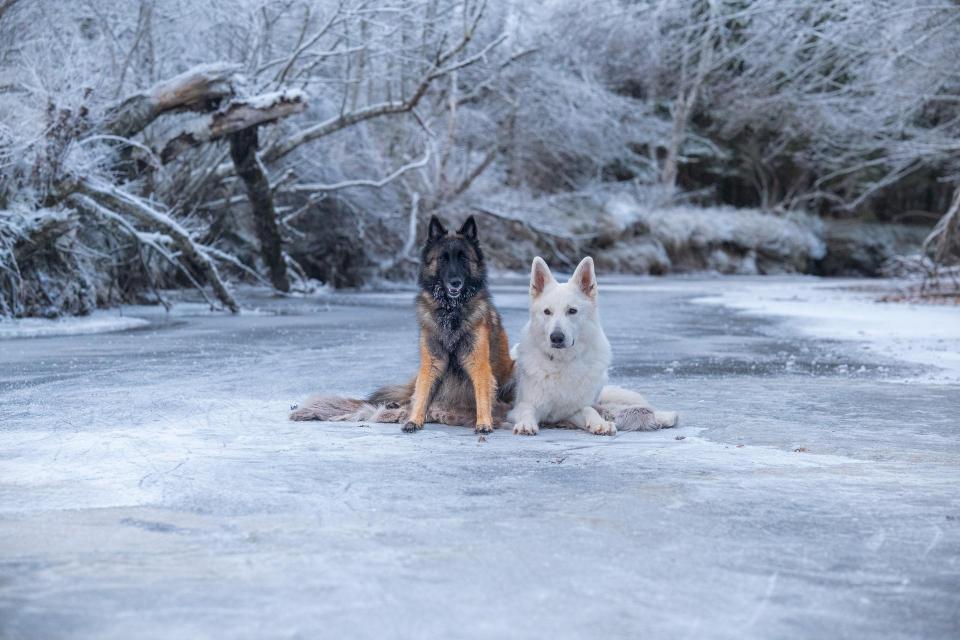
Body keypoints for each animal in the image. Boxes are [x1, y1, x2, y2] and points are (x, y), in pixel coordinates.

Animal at [506, 255, 680, 436]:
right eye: (547, 312)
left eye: (572, 311)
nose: (556, 338)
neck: (562, 362)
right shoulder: (521, 406)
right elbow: (526, 410)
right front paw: (525, 424)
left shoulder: (573, 410)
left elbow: (590, 410)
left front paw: (600, 423)